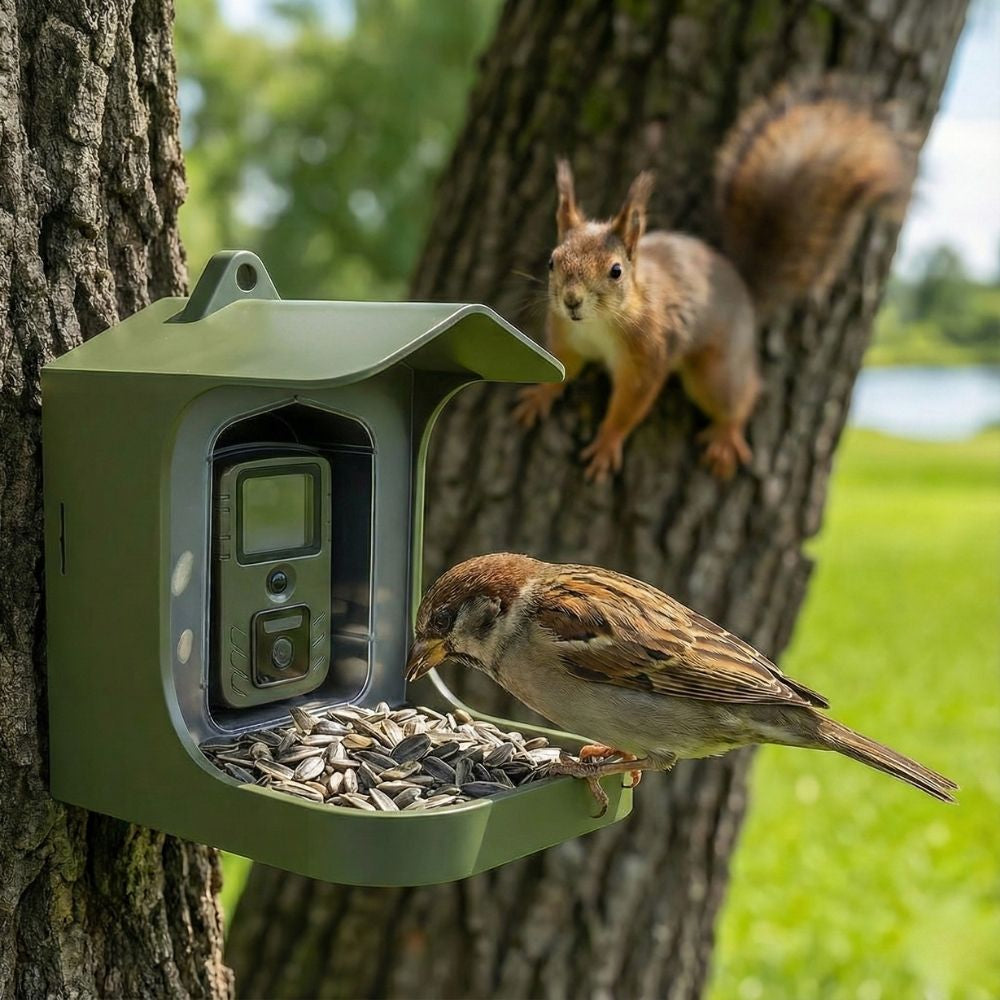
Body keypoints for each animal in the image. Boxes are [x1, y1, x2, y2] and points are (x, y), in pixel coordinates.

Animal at [513, 80, 912, 481]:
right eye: (552, 261)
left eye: (615, 271)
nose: (571, 301)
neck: (598, 324)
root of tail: (743, 286)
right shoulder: (566, 335)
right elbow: (563, 366)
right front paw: (540, 395)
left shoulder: (649, 355)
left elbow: (631, 404)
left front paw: (608, 442)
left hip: (715, 373)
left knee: (742, 392)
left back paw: (726, 434)